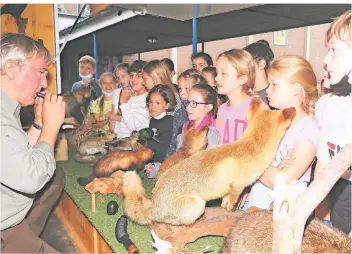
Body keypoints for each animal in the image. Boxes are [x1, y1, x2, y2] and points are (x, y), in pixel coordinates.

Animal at [122, 96, 296, 224]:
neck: (250, 148)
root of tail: (154, 202)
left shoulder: (229, 189)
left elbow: (225, 202)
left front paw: (225, 209)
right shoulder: (237, 187)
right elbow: (232, 204)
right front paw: (231, 211)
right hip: (198, 205)